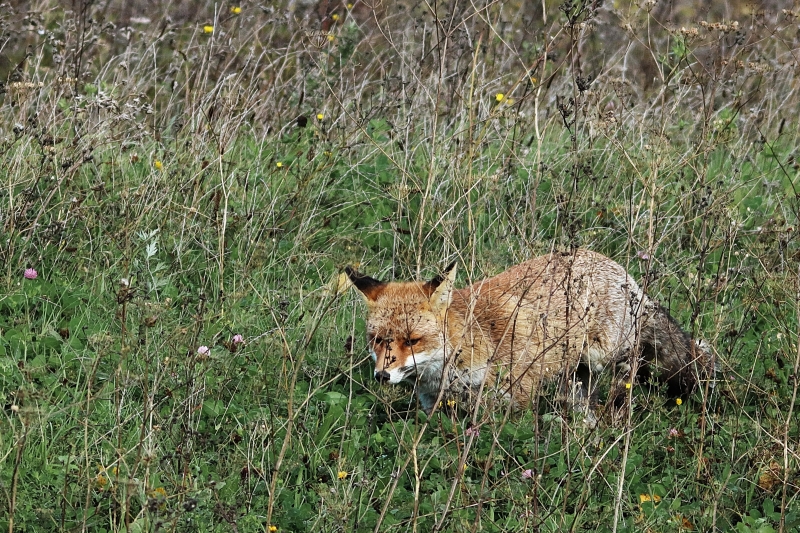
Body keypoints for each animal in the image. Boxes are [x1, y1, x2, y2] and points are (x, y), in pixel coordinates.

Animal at [344, 249, 712, 420]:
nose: (381, 375)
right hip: (575, 379)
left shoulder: (513, 401)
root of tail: (620, 270)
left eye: (412, 340)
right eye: (377, 340)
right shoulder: (438, 409)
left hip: (607, 358)